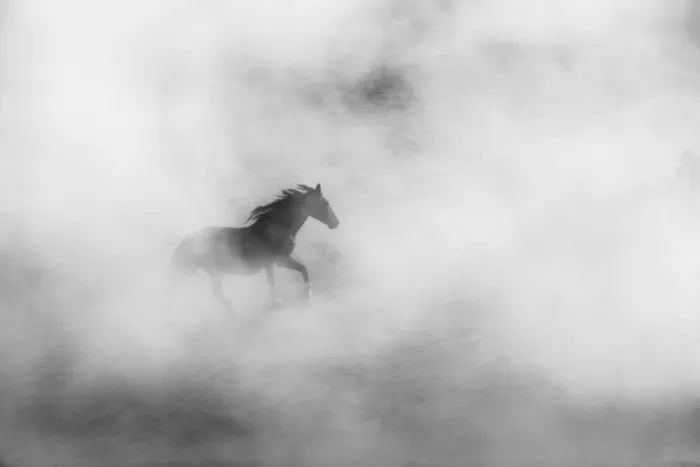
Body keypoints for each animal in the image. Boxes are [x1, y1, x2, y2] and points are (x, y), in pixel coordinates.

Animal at [169, 183, 339, 312]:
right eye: (325, 203)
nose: (336, 223)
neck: (279, 228)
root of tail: (185, 242)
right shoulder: (281, 260)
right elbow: (303, 269)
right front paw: (307, 295)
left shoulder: (270, 264)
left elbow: (272, 281)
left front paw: (276, 301)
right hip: (194, 269)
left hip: (214, 271)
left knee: (216, 292)